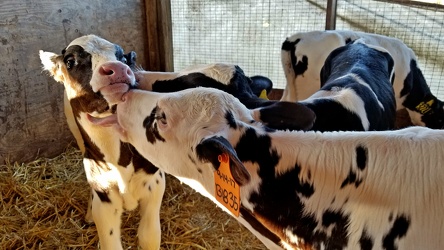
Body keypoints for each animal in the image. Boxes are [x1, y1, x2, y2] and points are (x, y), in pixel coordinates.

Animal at [39, 35, 165, 250]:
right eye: (70, 61)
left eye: (122, 57)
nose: (117, 68)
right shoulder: (104, 197)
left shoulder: (154, 184)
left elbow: (149, 237)